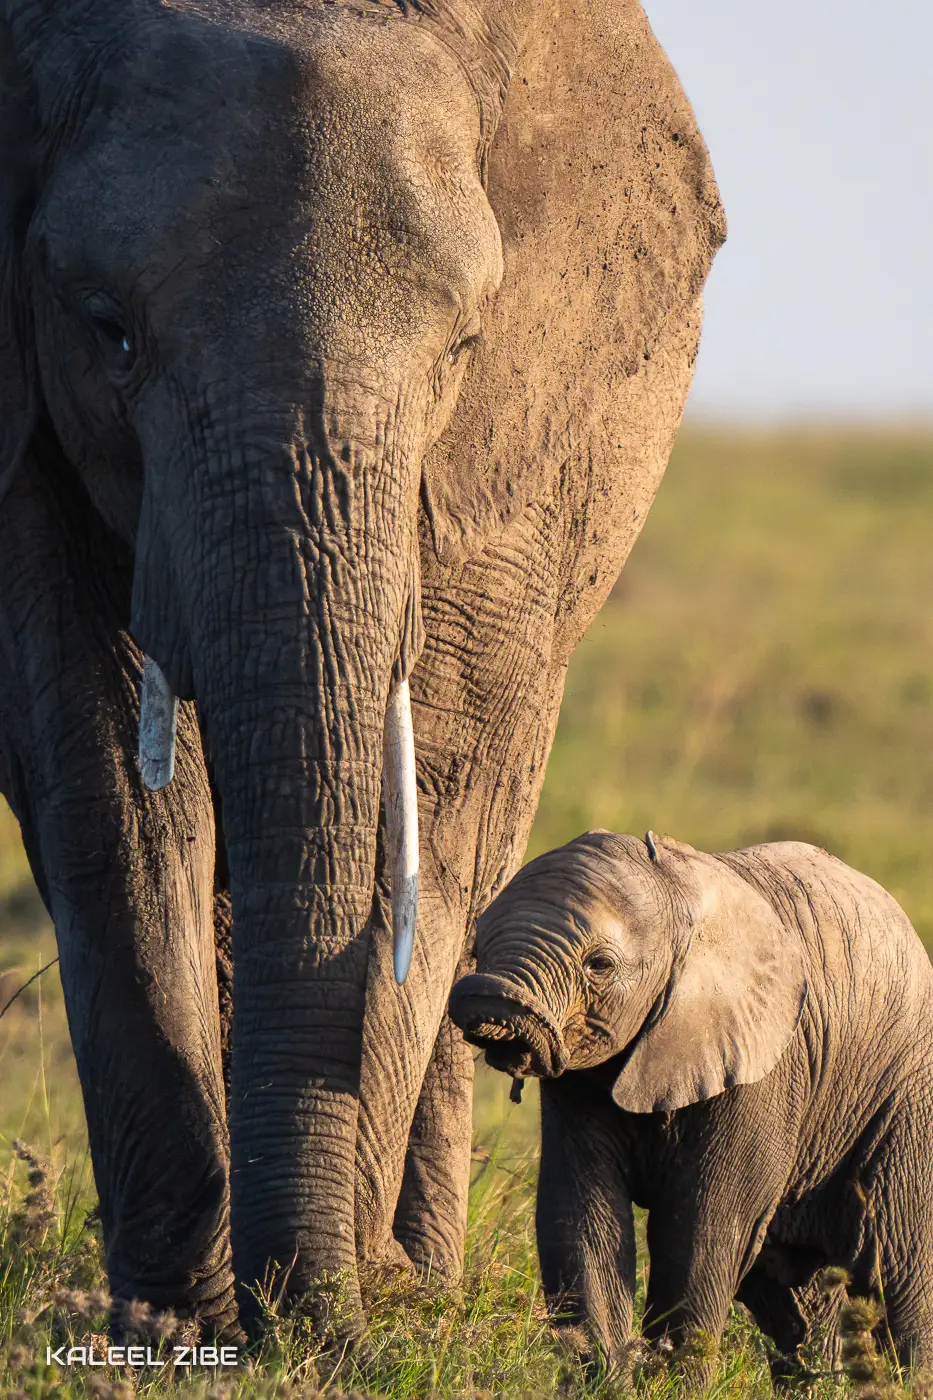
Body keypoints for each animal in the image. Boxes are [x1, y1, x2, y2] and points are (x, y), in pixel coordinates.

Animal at [0, 0, 724, 1338]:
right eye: (109, 329)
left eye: (466, 345)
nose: (314, 1313)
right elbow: (106, 783)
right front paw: (176, 1322)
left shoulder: (512, 448)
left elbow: (429, 775)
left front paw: (337, 1310)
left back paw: (416, 1274)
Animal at [450, 830, 933, 1381]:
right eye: (476, 947)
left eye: (600, 965)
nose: (489, 1000)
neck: (674, 888)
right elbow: (581, 1217)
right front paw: (601, 1380)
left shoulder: (764, 1069)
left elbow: (700, 1231)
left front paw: (670, 1381)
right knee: (795, 1299)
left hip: (904, 1099)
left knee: (903, 1271)